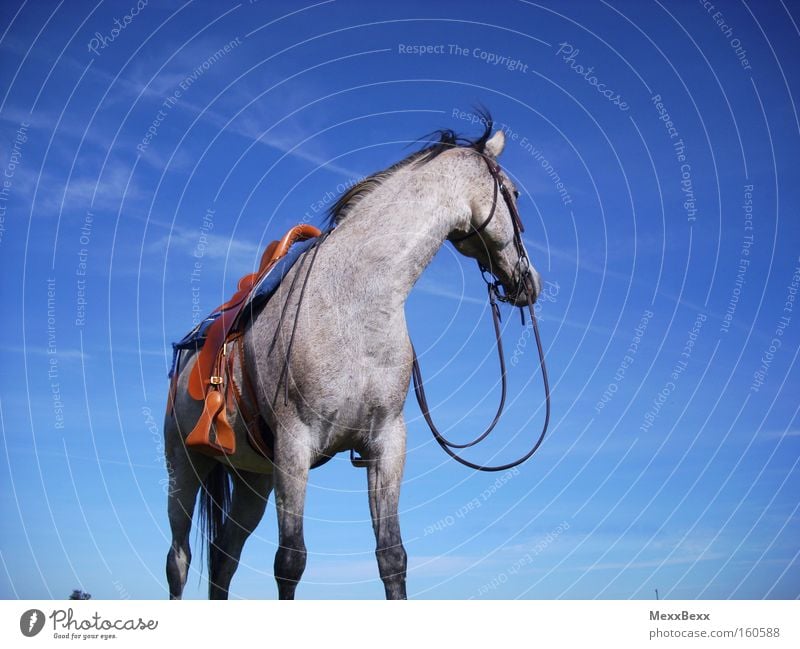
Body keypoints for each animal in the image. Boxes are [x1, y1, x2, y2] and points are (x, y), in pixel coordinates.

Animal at [165, 119, 544, 600]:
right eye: (513, 193)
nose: (529, 280)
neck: (355, 303)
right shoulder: (295, 444)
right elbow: (290, 561)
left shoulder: (386, 444)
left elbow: (392, 557)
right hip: (185, 467)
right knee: (179, 559)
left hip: (254, 478)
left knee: (222, 557)